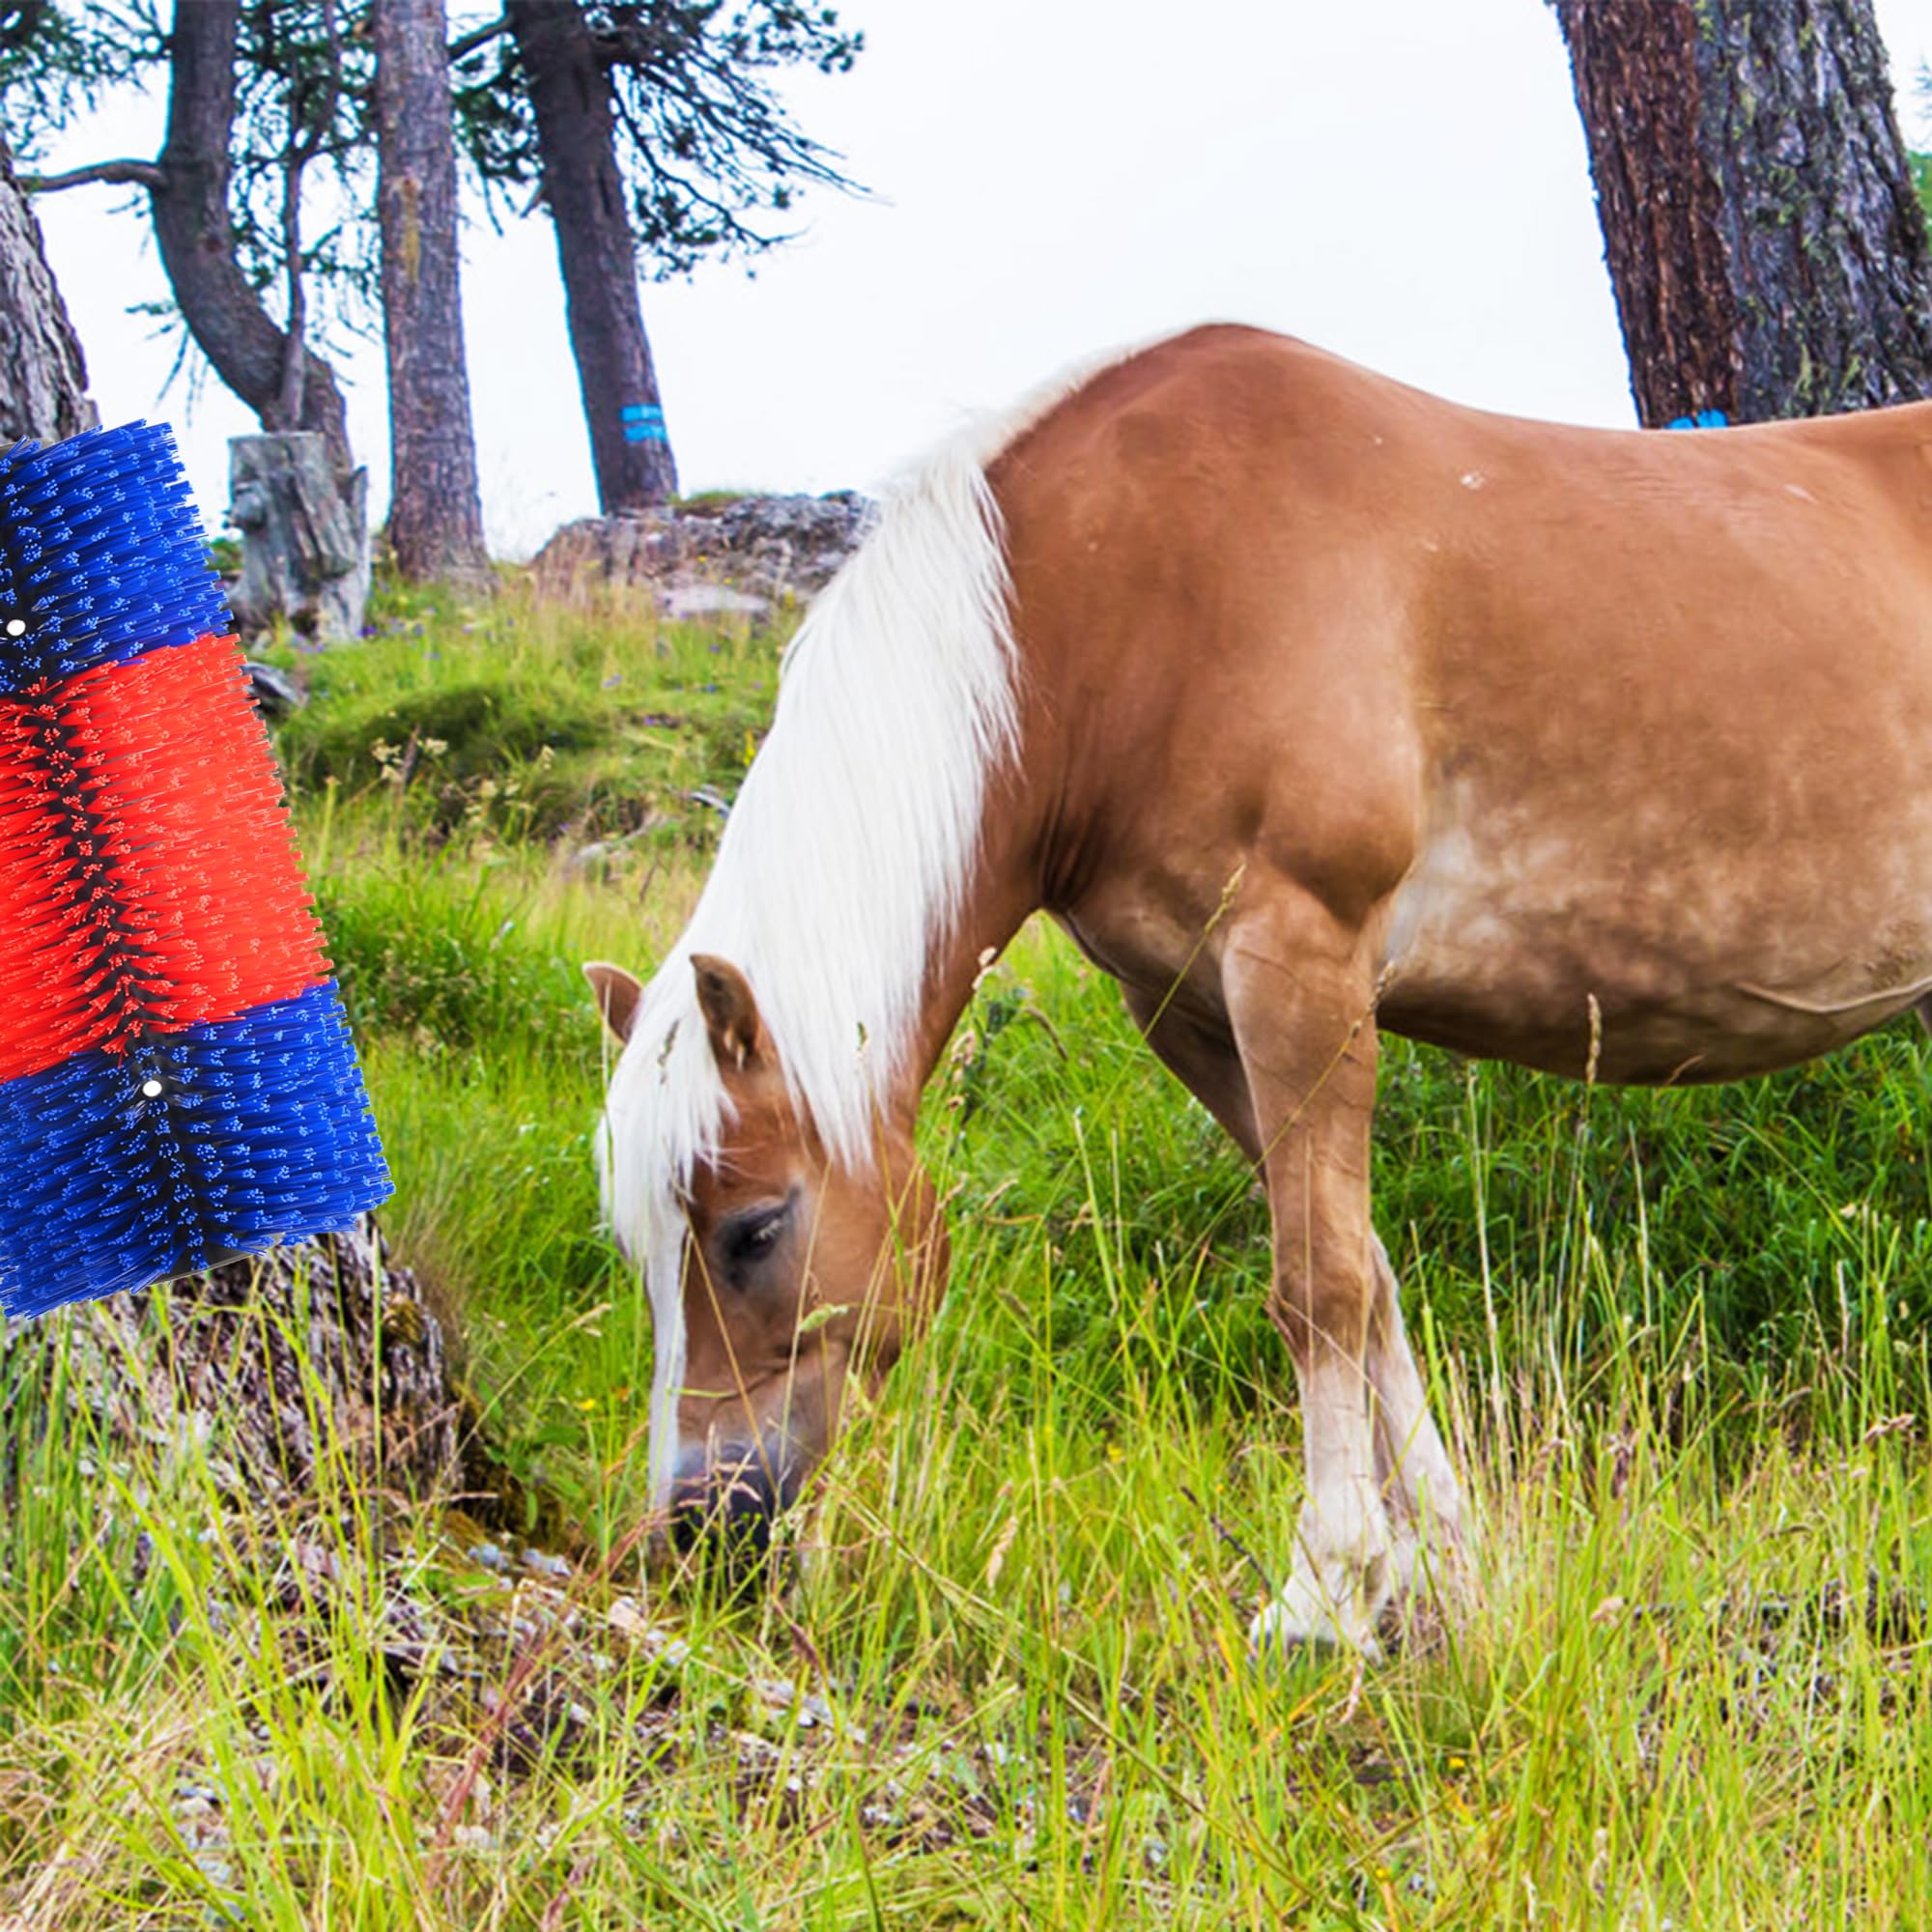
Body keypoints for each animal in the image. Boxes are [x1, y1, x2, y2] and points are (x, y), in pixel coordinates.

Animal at [586, 322, 1932, 1654]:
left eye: (754, 1228)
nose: (702, 1528)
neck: (1120, 594)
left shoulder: (1300, 965)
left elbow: (1316, 1283)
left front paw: (1321, 1590)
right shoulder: (1190, 1008)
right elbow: (1367, 1270)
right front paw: (1439, 1570)